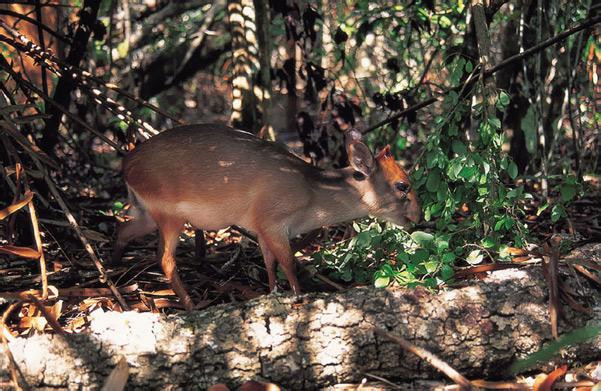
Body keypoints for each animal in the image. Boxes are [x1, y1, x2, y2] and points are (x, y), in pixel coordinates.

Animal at [110, 124, 420, 310]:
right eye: (402, 186)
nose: (417, 216)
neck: (312, 194)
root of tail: (126, 165)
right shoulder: (274, 221)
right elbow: (289, 263)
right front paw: (298, 297)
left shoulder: (259, 228)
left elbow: (270, 263)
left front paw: (273, 294)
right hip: (170, 215)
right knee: (165, 258)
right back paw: (191, 305)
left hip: (147, 213)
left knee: (122, 231)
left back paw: (113, 275)